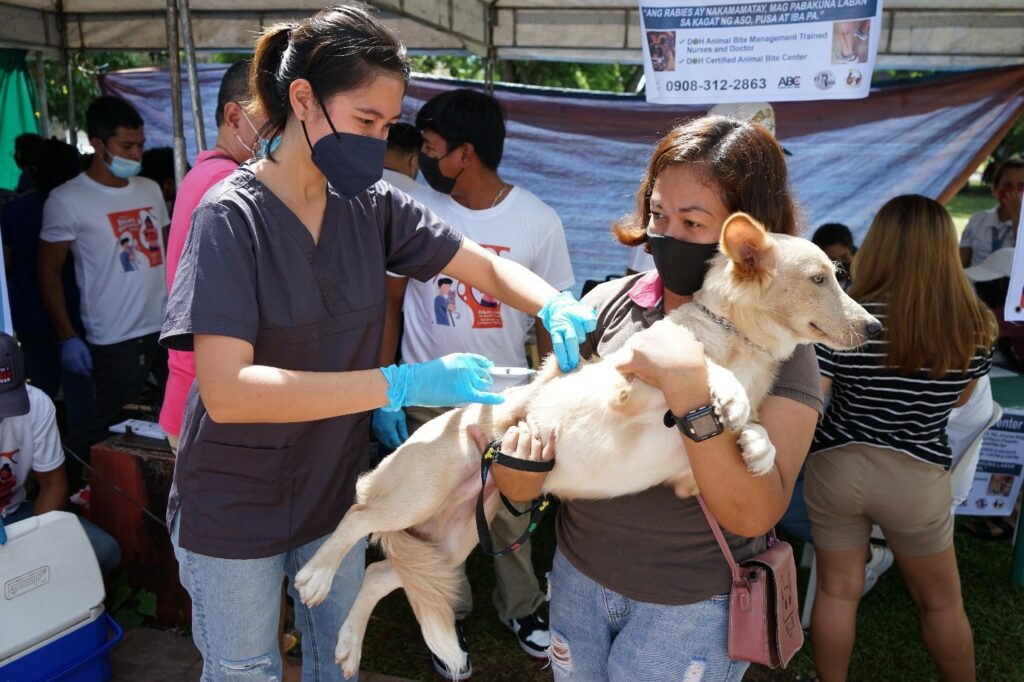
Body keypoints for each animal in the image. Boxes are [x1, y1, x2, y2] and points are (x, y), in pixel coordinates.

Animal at [292, 212, 876, 675]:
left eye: (837, 276)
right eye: (820, 278)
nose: (873, 327)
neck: (740, 342)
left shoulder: (691, 477)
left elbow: (752, 426)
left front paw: (757, 447)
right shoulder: (631, 385)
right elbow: (700, 366)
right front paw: (725, 390)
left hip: (452, 539)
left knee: (378, 572)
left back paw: (350, 646)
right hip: (420, 492)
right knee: (358, 515)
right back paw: (317, 575)